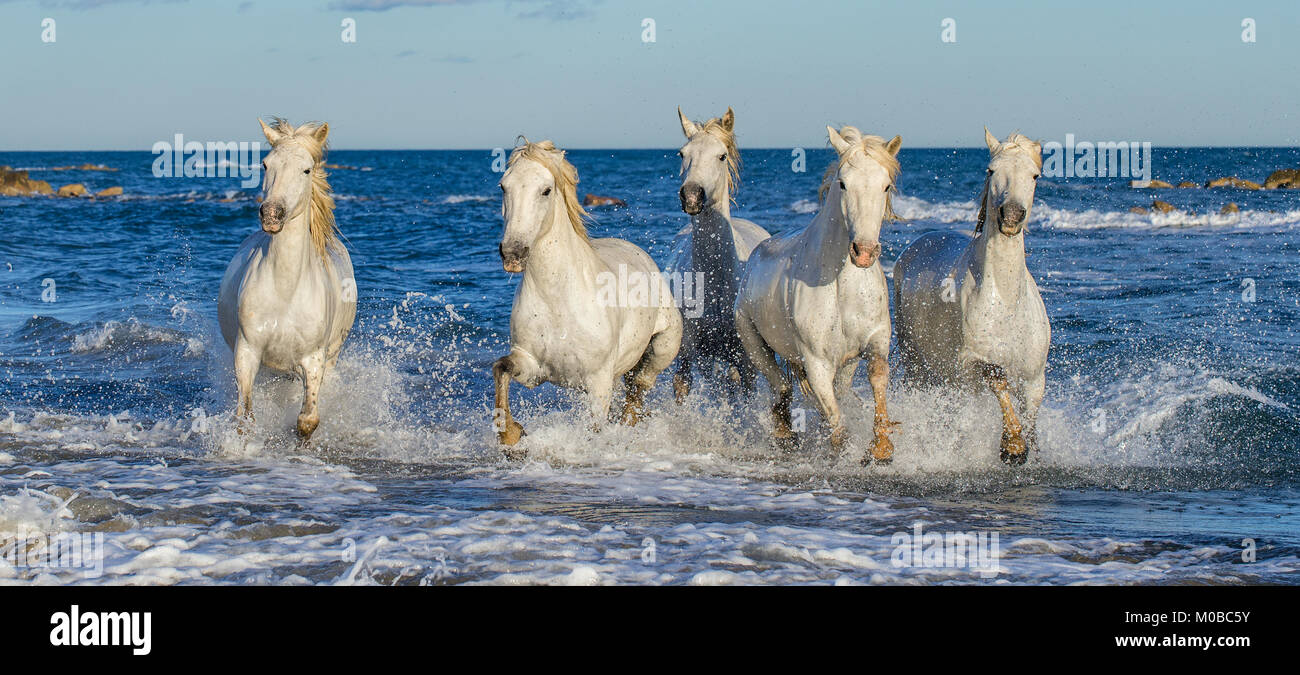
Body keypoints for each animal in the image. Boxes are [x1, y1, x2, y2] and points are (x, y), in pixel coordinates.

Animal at [217, 118, 356, 440]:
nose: (271, 214)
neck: (286, 290)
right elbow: (245, 419)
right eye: (265, 164)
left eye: (306, 169)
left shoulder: (314, 359)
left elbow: (308, 420)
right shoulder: (247, 352)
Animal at [492, 140, 682, 459]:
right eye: (504, 186)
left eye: (546, 190)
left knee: (639, 390)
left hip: (660, 350)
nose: (513, 253)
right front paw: (511, 435)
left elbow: (594, 430)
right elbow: (501, 369)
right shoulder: (531, 366)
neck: (558, 300)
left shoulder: (598, 382)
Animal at [663, 107, 771, 401]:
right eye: (682, 154)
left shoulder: (745, 360)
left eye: (722, 155)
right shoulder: (689, 354)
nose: (691, 196)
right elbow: (682, 386)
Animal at [735, 126, 902, 464]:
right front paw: (841, 451)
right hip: (753, 342)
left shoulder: (876, 340)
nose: (864, 252)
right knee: (781, 387)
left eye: (886, 185)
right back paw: (785, 437)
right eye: (843, 183)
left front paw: (881, 449)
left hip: (845, 364)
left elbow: (877, 377)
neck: (841, 286)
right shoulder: (816, 362)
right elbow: (834, 419)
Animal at [892, 128, 1049, 465]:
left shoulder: (1034, 378)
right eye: (991, 170)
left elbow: (1031, 418)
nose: (1011, 216)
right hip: (917, 362)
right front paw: (1012, 447)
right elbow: (998, 379)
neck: (1005, 299)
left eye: (1035, 175)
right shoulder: (972, 364)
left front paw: (1033, 451)